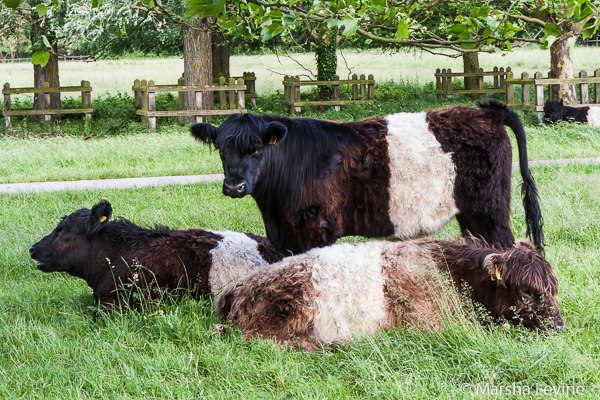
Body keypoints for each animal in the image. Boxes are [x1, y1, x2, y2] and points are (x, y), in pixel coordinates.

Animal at [191, 98, 544, 253]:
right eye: (221, 149)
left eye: (257, 150)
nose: (234, 186)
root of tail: (488, 112)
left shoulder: (314, 226)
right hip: (471, 216)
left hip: (490, 209)